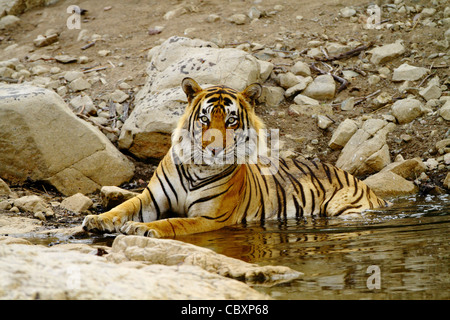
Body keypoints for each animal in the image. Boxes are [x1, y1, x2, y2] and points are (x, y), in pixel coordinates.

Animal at [81, 77, 390, 238]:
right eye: (204, 118)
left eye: (231, 121)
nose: (213, 149)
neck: (197, 167)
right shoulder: (151, 198)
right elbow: (123, 206)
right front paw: (97, 219)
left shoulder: (210, 217)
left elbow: (173, 223)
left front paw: (140, 228)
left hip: (345, 209)